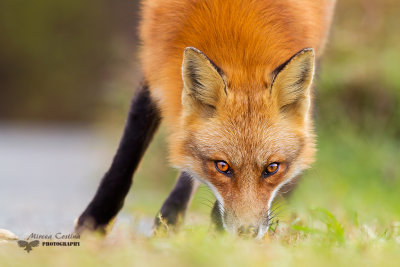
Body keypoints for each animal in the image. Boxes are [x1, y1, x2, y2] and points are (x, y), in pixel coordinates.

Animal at [75, 0, 334, 239]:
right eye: (222, 166)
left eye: (272, 168)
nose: (246, 232)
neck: (235, 26)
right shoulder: (153, 78)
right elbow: (124, 162)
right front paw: (93, 223)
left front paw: (217, 235)